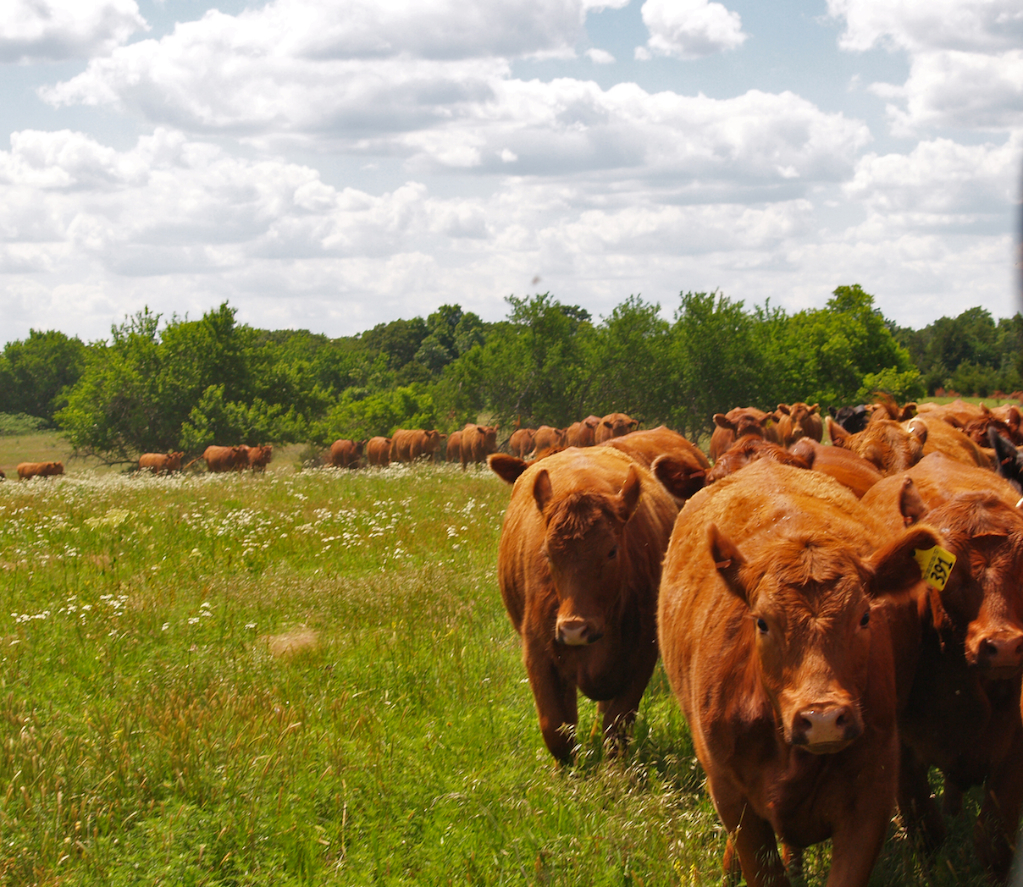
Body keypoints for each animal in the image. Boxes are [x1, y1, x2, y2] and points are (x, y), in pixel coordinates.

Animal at [495, 450, 679, 761]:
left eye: (612, 551)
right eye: (547, 553)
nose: (574, 629)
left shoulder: (642, 656)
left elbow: (617, 724)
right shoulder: (539, 654)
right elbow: (556, 728)